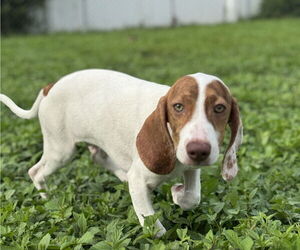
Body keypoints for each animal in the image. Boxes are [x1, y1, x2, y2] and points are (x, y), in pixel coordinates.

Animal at [0, 70, 243, 236]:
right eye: (178, 107)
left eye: (220, 108)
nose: (198, 151)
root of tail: (50, 87)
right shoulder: (140, 179)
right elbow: (155, 228)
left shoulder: (190, 167)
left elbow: (193, 196)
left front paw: (178, 193)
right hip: (61, 150)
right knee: (35, 172)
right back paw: (47, 200)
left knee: (97, 156)